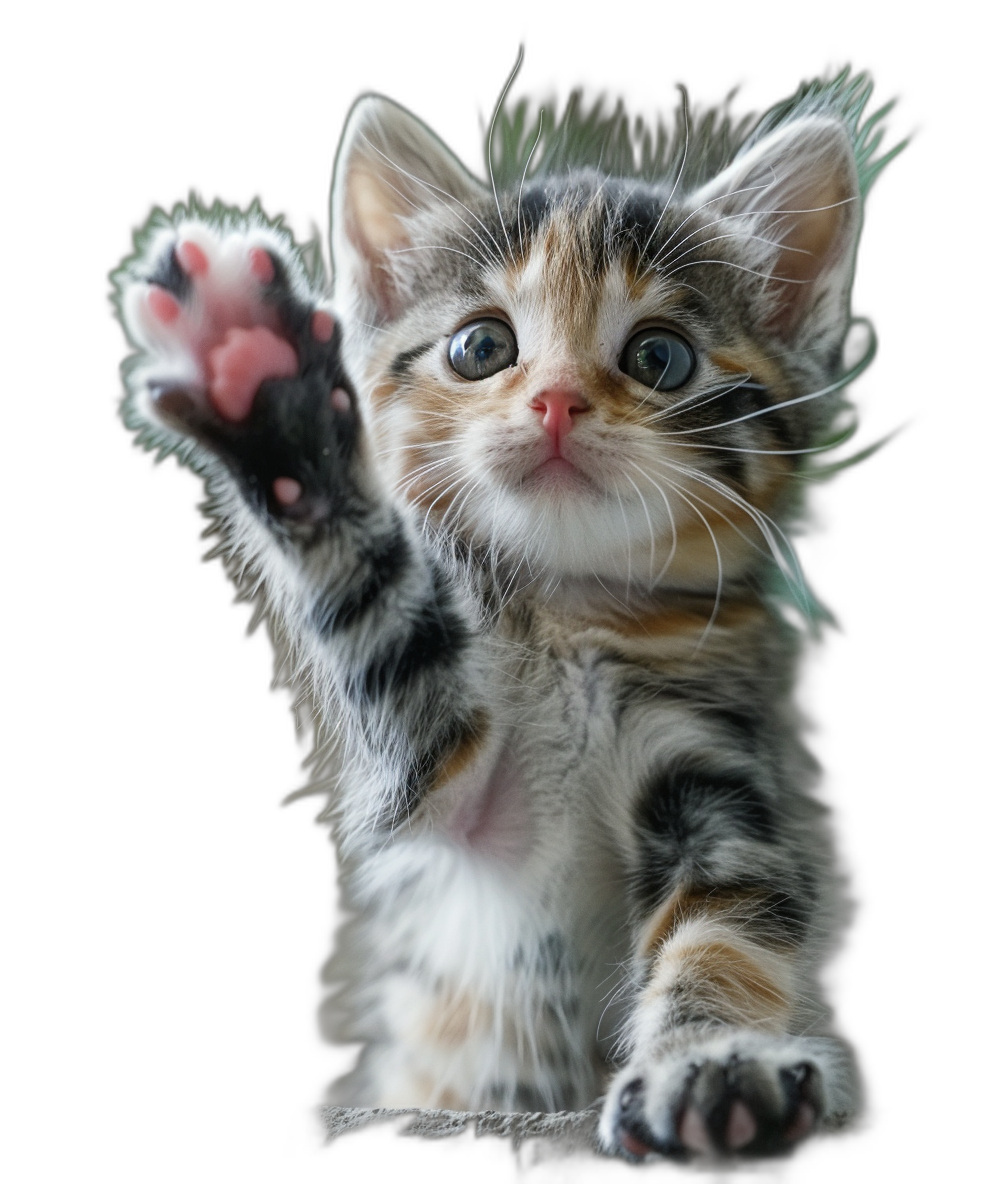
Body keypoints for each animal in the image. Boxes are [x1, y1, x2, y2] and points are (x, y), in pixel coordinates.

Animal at [116, 83, 881, 1165]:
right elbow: (380, 618)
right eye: (482, 347)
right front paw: (261, 381)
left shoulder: (723, 770)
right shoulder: (434, 770)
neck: (567, 617)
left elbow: (725, 932)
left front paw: (714, 1063)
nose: (556, 401)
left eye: (660, 358)